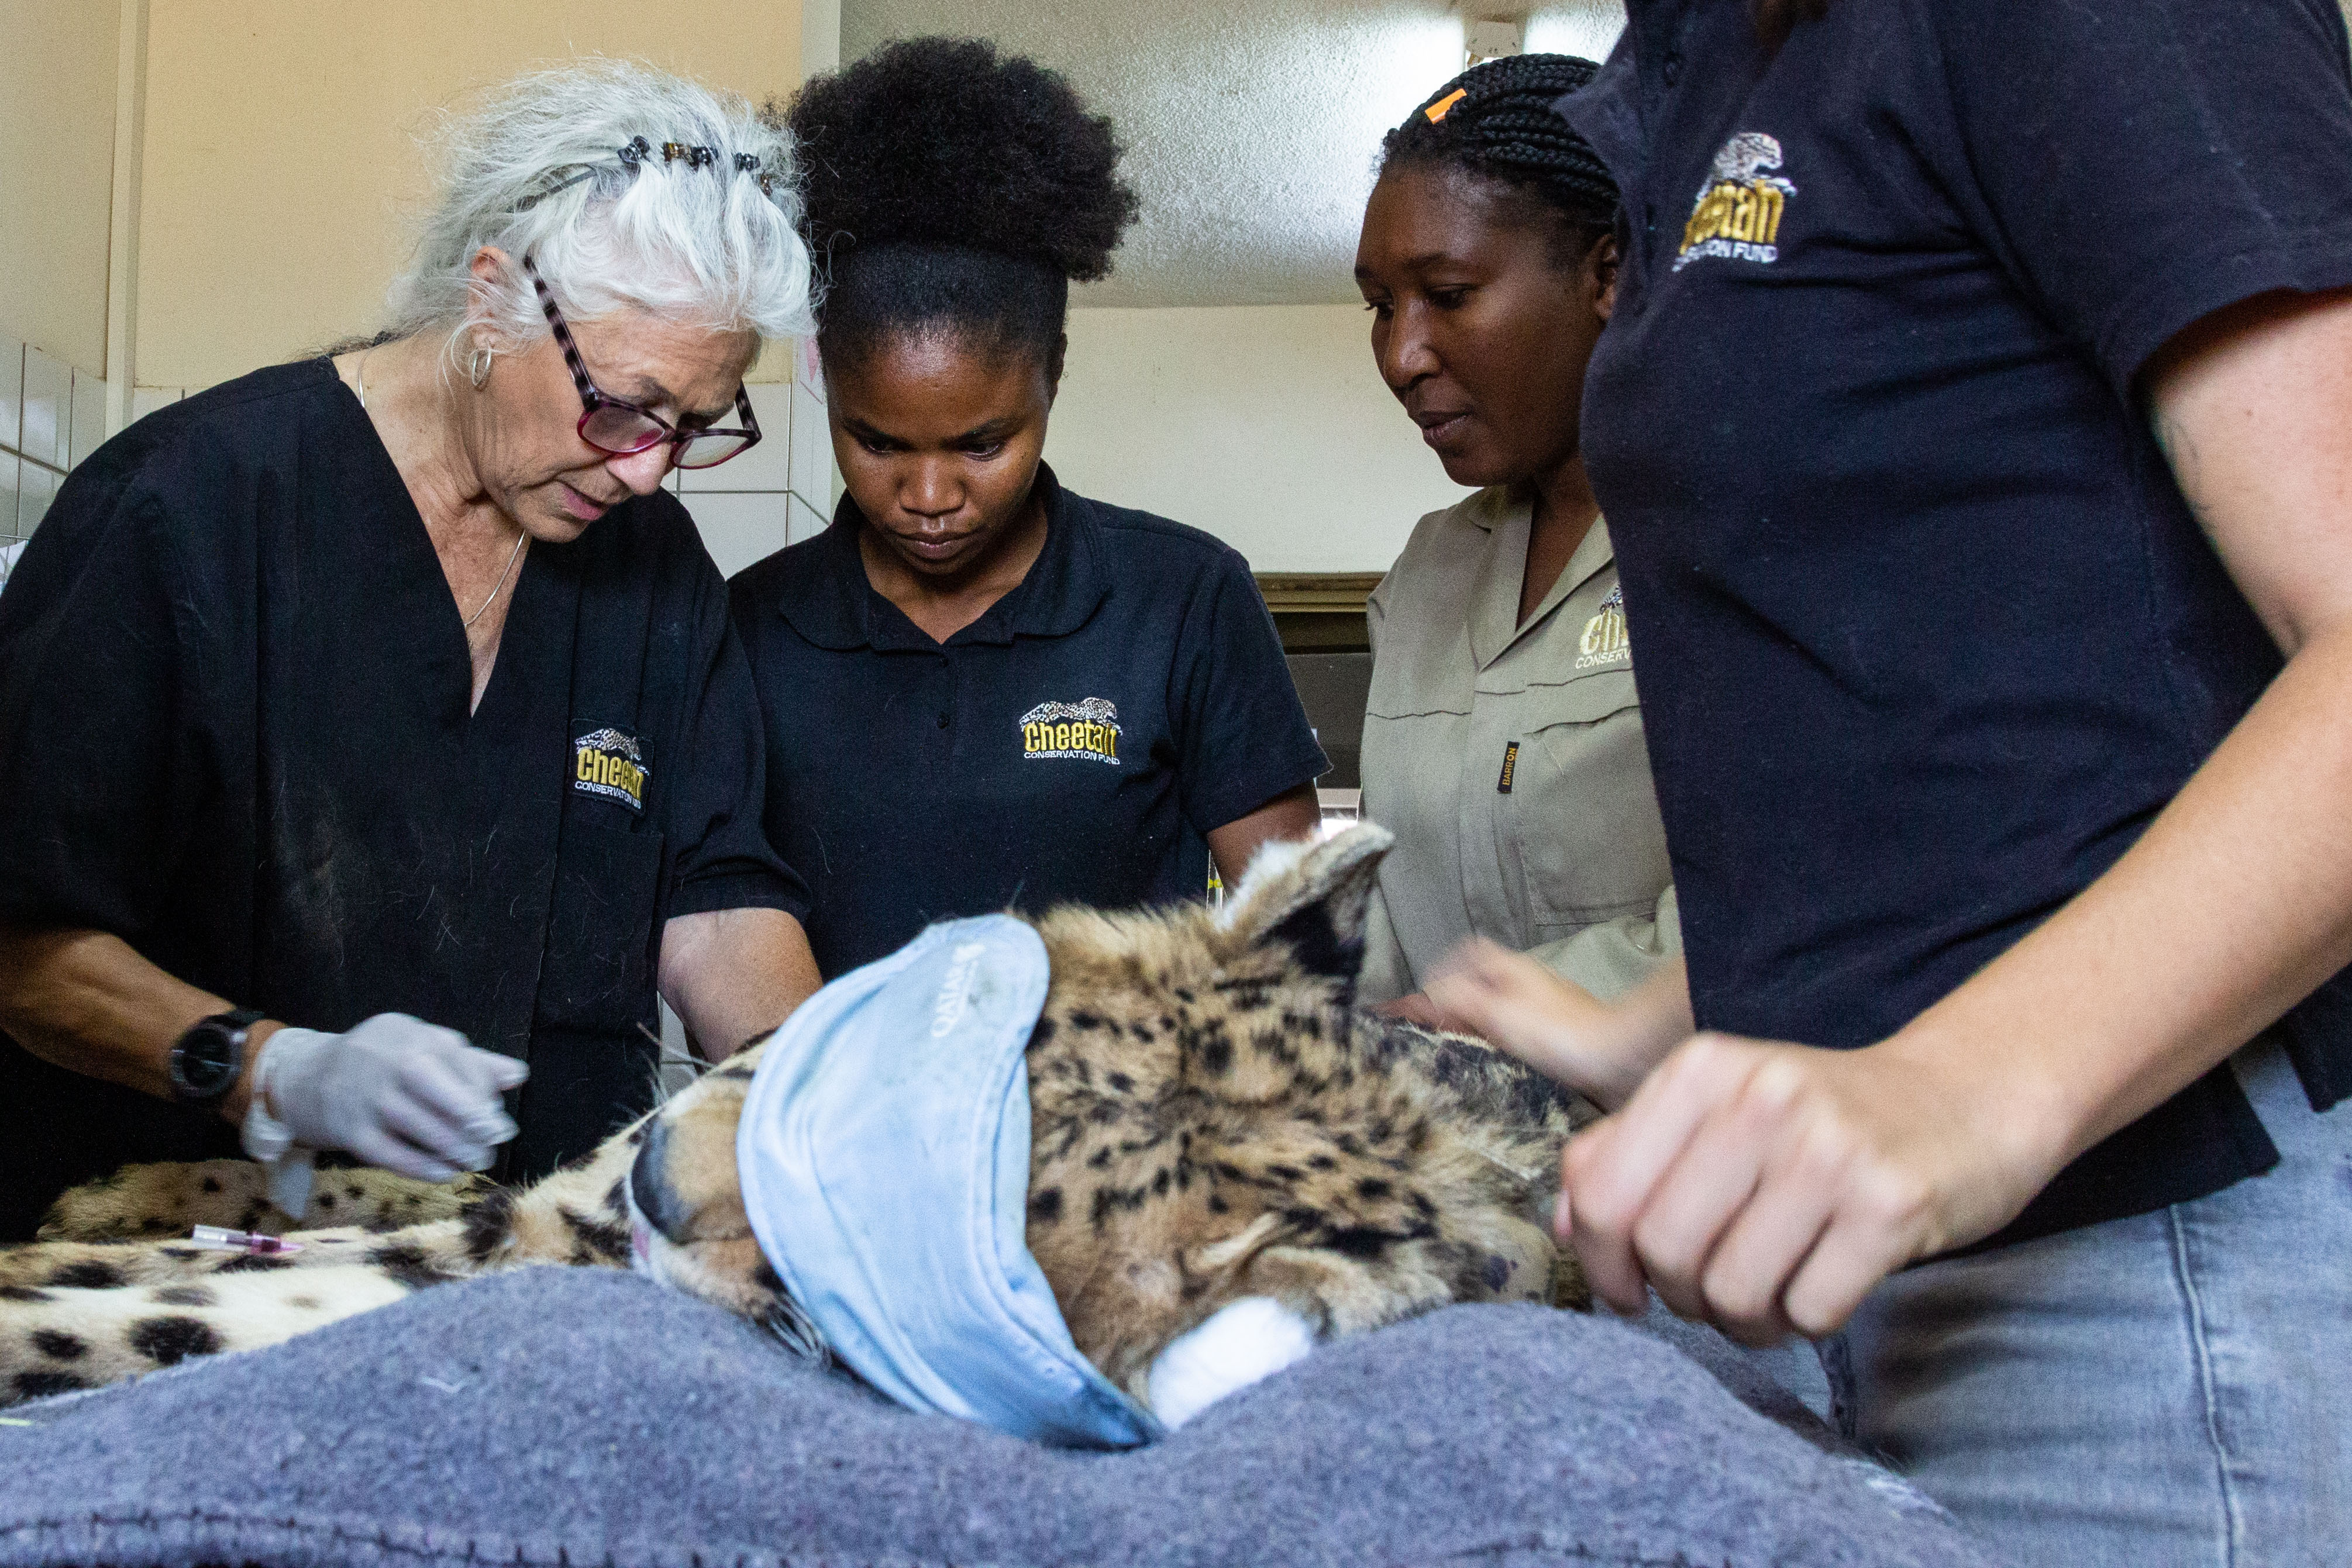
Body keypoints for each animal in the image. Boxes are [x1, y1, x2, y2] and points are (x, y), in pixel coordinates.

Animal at [0, 832, 1590, 1419]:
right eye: (900, 1037)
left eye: (867, 1232)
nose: (658, 1177)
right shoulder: (531, 1207)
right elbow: (357, 1188)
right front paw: (124, 1192)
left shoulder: (522, 1260)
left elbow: (130, 1317)